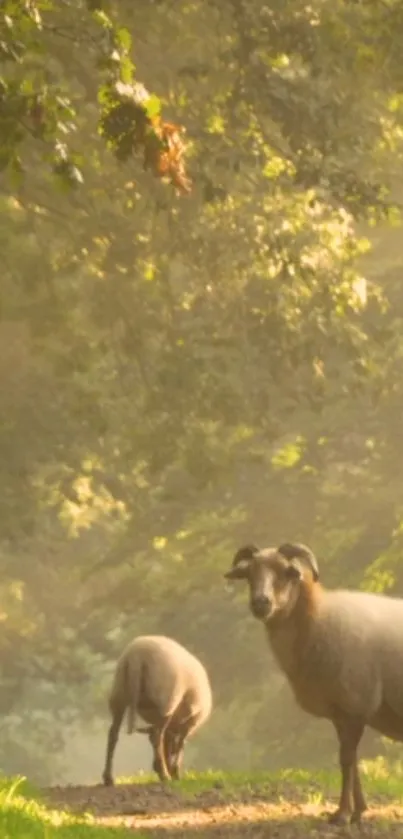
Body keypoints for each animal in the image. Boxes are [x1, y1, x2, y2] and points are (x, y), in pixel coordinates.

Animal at [102, 636, 213, 788]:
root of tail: (137, 655)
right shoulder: (190, 722)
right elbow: (180, 745)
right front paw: (175, 772)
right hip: (166, 700)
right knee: (155, 736)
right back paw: (164, 774)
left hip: (119, 693)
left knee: (113, 734)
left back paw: (108, 778)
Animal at [226, 540, 403, 824]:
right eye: (249, 574)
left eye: (286, 572)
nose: (261, 603)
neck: (316, 618)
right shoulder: (341, 712)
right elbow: (352, 761)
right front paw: (359, 810)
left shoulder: (354, 705)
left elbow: (346, 760)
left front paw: (343, 814)